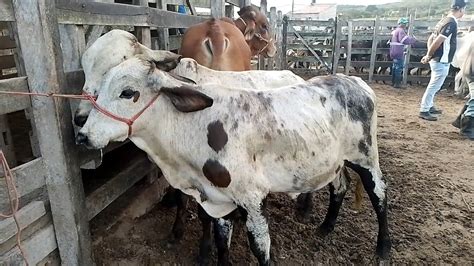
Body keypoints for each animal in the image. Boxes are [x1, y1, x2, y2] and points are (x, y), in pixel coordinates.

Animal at [77, 56, 392, 264]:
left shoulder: (252, 198)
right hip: (333, 161)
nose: (82, 135)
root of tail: (354, 80)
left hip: (365, 156)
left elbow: (260, 246)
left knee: (379, 195)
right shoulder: (218, 200)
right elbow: (221, 241)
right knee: (339, 187)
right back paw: (326, 227)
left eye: (128, 92)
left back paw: (383, 248)